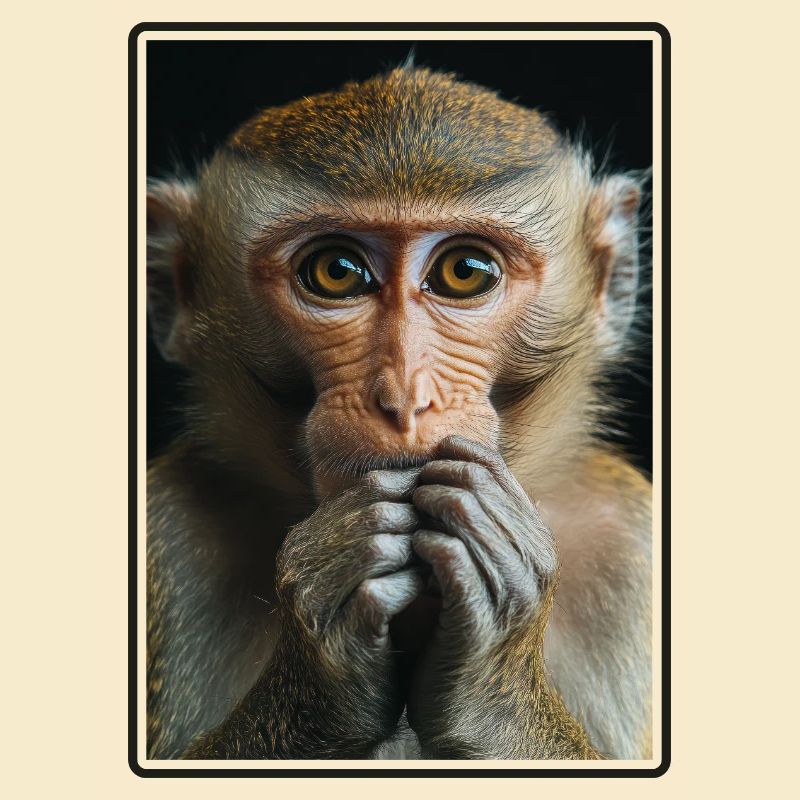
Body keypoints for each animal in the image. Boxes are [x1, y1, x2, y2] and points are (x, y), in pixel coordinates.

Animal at [146, 66, 652, 761]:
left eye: (465, 272)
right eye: (336, 272)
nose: (404, 396)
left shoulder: (632, 543)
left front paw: (494, 684)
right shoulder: (168, 528)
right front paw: (325, 657)